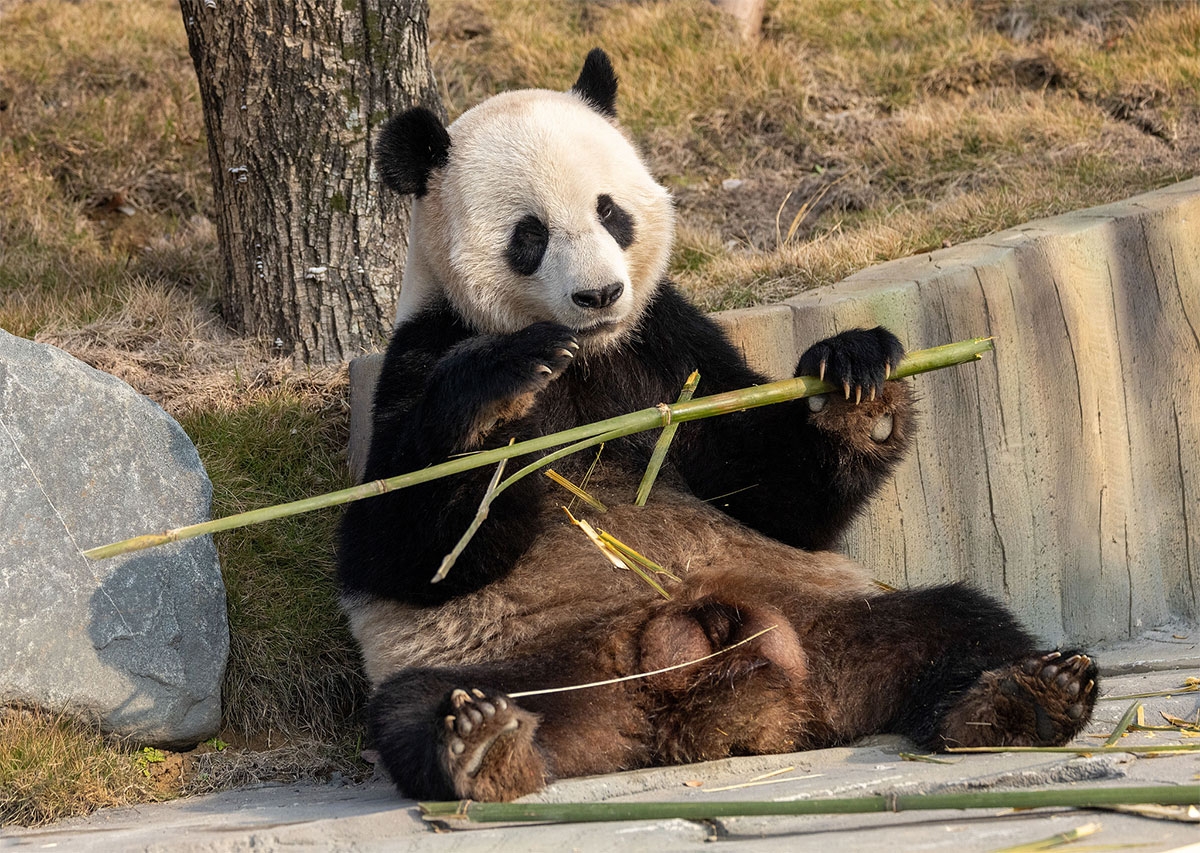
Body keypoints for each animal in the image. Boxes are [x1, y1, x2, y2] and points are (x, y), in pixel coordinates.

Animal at [337, 49, 1098, 803]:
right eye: (530, 235)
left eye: (610, 213)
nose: (600, 295)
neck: (587, 356)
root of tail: (705, 700)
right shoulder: (422, 352)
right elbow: (400, 551)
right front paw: (500, 394)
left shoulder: (668, 344)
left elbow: (775, 496)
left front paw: (855, 385)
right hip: (534, 663)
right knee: (416, 705)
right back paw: (485, 745)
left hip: (827, 618)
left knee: (957, 622)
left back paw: (1021, 699)